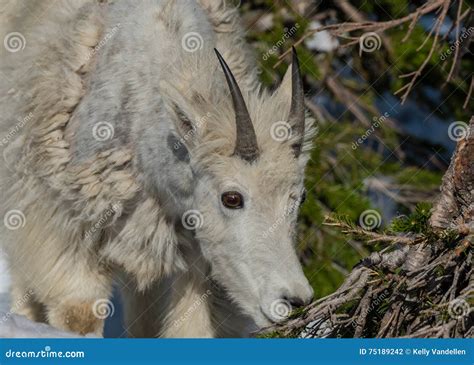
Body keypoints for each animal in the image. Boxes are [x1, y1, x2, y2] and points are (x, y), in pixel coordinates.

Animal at [1, 0, 316, 336]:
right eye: (231, 198)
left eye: (301, 197)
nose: (293, 300)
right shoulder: (67, 223)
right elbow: (79, 312)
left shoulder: (192, 256)